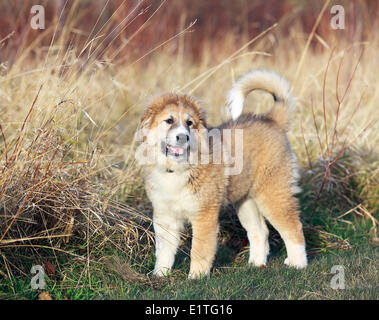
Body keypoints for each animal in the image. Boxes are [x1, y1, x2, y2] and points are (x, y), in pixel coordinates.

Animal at [138, 69, 308, 278]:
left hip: (273, 193)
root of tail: (272, 120)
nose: (183, 137)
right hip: (246, 202)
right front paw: (160, 274)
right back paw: (256, 264)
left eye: (189, 123)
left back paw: (297, 264)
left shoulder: (204, 215)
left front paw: (196, 277)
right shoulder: (165, 216)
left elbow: (199, 249)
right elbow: (164, 250)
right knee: (260, 231)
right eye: (169, 121)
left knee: (293, 227)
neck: (177, 169)